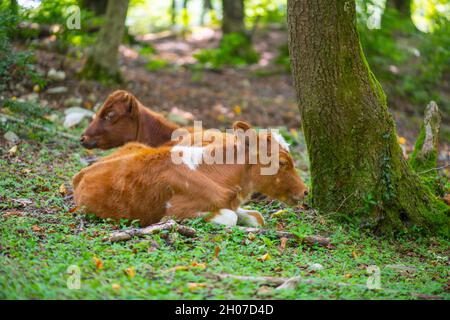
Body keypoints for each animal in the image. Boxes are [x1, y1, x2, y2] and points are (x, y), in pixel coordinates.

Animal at [74, 122, 308, 228]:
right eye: (283, 163)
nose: (306, 191)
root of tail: (83, 172)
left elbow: (257, 216)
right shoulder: (175, 213)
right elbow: (230, 218)